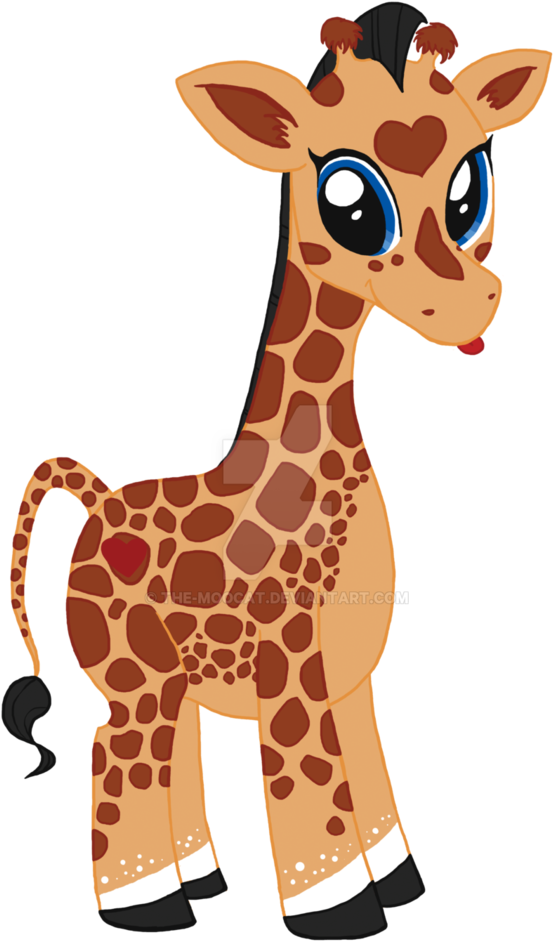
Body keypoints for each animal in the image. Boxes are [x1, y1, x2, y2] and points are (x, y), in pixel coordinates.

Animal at [4, 4, 551, 938]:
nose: (466, 303)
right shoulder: (290, 670)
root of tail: (98, 497)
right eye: (348, 199)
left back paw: (201, 881)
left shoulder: (351, 675)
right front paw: (337, 914)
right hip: (134, 674)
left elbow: (370, 789)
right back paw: (150, 909)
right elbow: (312, 802)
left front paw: (397, 888)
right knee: (116, 750)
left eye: (468, 184)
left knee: (168, 754)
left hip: (172, 682)